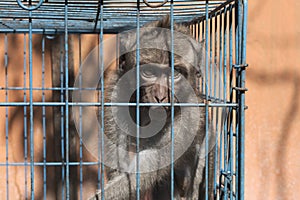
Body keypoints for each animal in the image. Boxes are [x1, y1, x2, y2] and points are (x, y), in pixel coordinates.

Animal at [89, 16, 216, 200]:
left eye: (175, 73)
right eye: (148, 72)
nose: (161, 96)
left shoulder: (191, 114)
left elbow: (153, 160)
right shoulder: (114, 95)